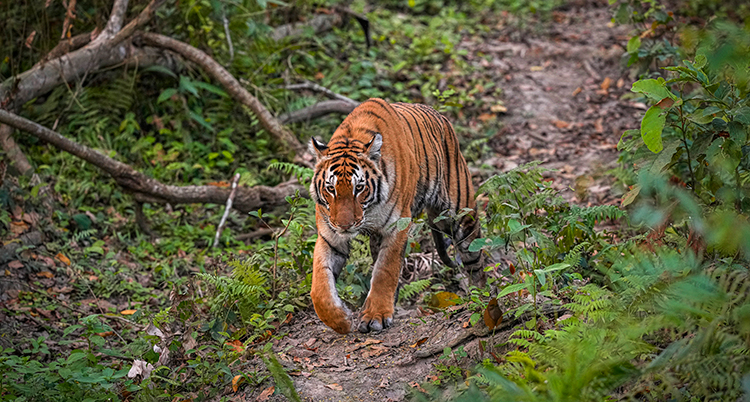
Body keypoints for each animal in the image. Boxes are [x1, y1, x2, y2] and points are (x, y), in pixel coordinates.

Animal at [309, 98, 481, 334]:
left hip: (459, 215)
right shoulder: (330, 236)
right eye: (331, 189)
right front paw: (341, 321)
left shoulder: (396, 227)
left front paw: (376, 316)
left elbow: (385, 271)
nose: (345, 225)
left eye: (359, 188)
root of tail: (440, 116)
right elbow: (319, 285)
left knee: (476, 258)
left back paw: (484, 295)